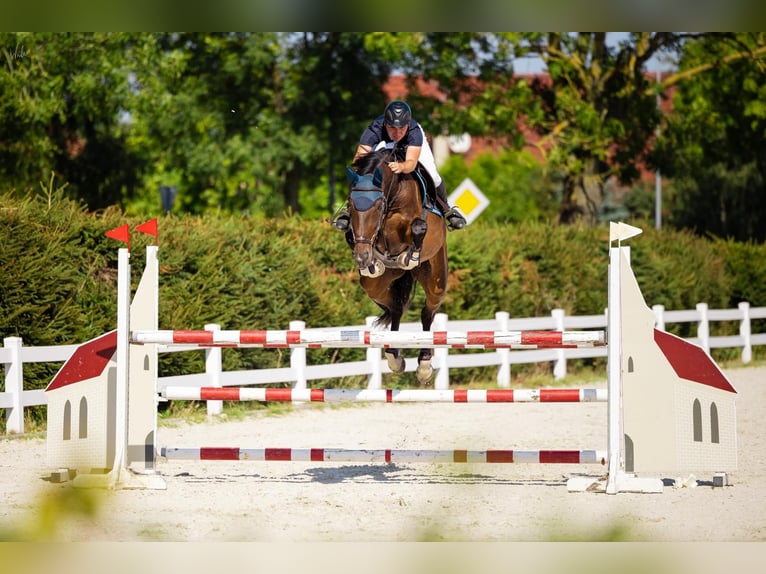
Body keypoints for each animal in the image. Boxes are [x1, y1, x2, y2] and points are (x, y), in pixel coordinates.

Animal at [344, 147, 448, 388]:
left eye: (378, 205)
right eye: (351, 205)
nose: (362, 257)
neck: (394, 192)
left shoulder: (413, 222)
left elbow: (418, 226)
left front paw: (410, 254)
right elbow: (355, 234)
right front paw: (371, 259)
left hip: (436, 278)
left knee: (427, 313)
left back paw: (424, 365)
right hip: (375, 285)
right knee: (396, 308)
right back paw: (394, 357)